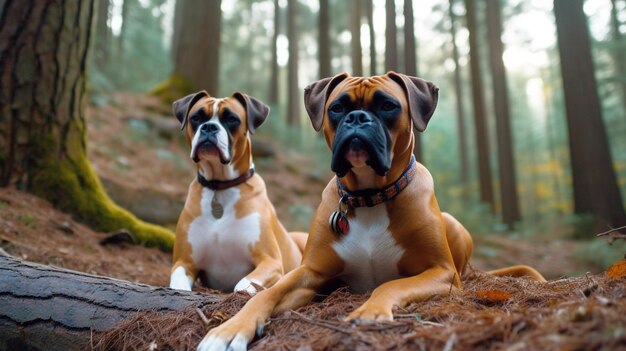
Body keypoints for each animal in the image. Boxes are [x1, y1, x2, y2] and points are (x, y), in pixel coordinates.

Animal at [169, 91, 306, 294]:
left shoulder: (270, 261)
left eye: (231, 119)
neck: (220, 186)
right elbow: (178, 285)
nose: (209, 127)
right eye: (196, 118)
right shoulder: (183, 262)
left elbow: (242, 284)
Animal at [195, 73, 540, 350]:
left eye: (387, 105)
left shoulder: (441, 272)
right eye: (337, 108)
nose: (358, 118)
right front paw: (230, 329)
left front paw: (370, 311)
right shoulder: (311, 273)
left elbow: (392, 284)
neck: (368, 197)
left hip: (453, 230)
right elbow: (266, 294)